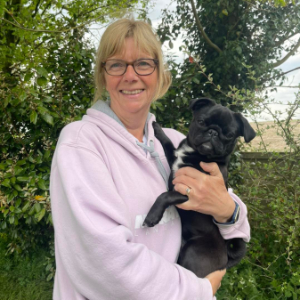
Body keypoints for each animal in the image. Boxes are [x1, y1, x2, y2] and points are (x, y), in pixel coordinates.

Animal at [144, 97, 255, 278]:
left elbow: (166, 195)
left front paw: (152, 216)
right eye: (202, 122)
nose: (213, 132)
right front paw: (157, 129)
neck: (197, 154)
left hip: (192, 252)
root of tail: (225, 258)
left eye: (229, 135)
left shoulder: (191, 194)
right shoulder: (174, 159)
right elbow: (168, 144)